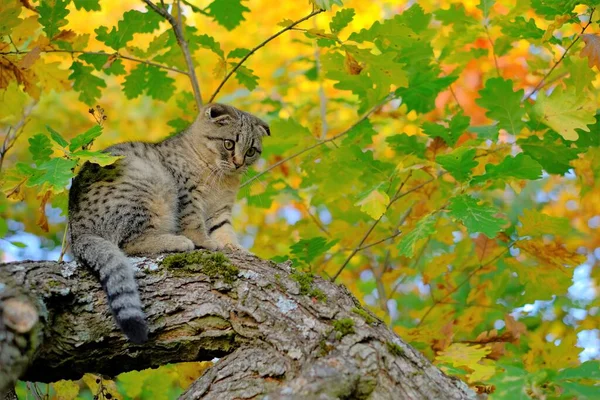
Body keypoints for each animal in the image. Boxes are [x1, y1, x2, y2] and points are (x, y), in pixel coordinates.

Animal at [67, 103, 270, 344]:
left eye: (251, 151)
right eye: (229, 144)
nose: (238, 164)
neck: (219, 177)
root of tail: (77, 232)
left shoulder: (220, 211)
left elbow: (224, 232)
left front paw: (237, 249)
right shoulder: (187, 192)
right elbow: (194, 223)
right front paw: (205, 242)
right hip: (151, 186)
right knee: (129, 243)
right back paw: (177, 242)